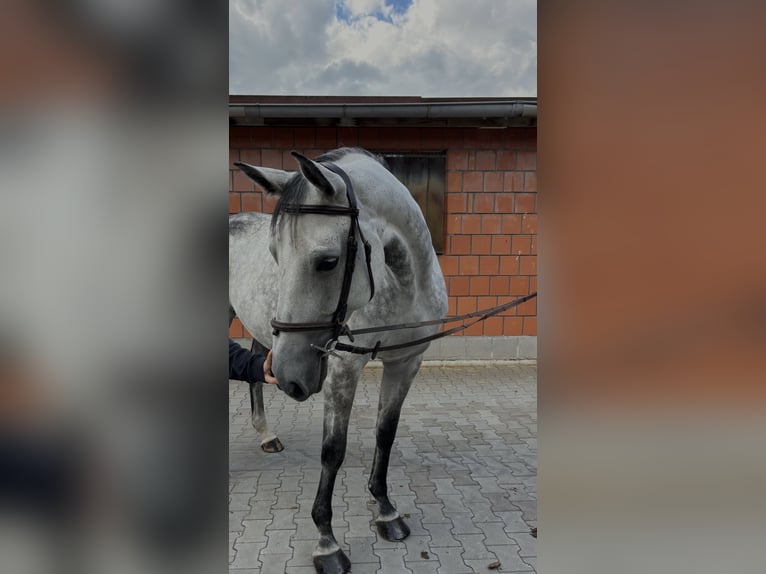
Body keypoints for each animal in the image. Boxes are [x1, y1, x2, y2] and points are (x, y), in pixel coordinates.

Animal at [228, 147, 448, 574]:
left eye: (327, 262)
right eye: (274, 255)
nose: (291, 378)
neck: (403, 285)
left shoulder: (406, 363)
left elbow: (385, 433)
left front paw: (386, 511)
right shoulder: (342, 368)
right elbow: (333, 450)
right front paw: (327, 543)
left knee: (256, 365)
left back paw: (267, 435)